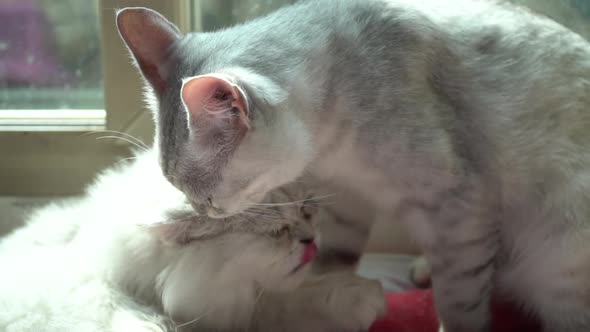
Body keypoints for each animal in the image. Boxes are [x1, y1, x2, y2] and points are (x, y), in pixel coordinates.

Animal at [114, 0, 590, 330]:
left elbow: (461, 307)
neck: (335, 151)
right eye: (177, 187)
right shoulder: (348, 199)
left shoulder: (458, 208)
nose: (202, 211)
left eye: (209, 197)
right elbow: (333, 262)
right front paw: (329, 294)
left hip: (557, 258)